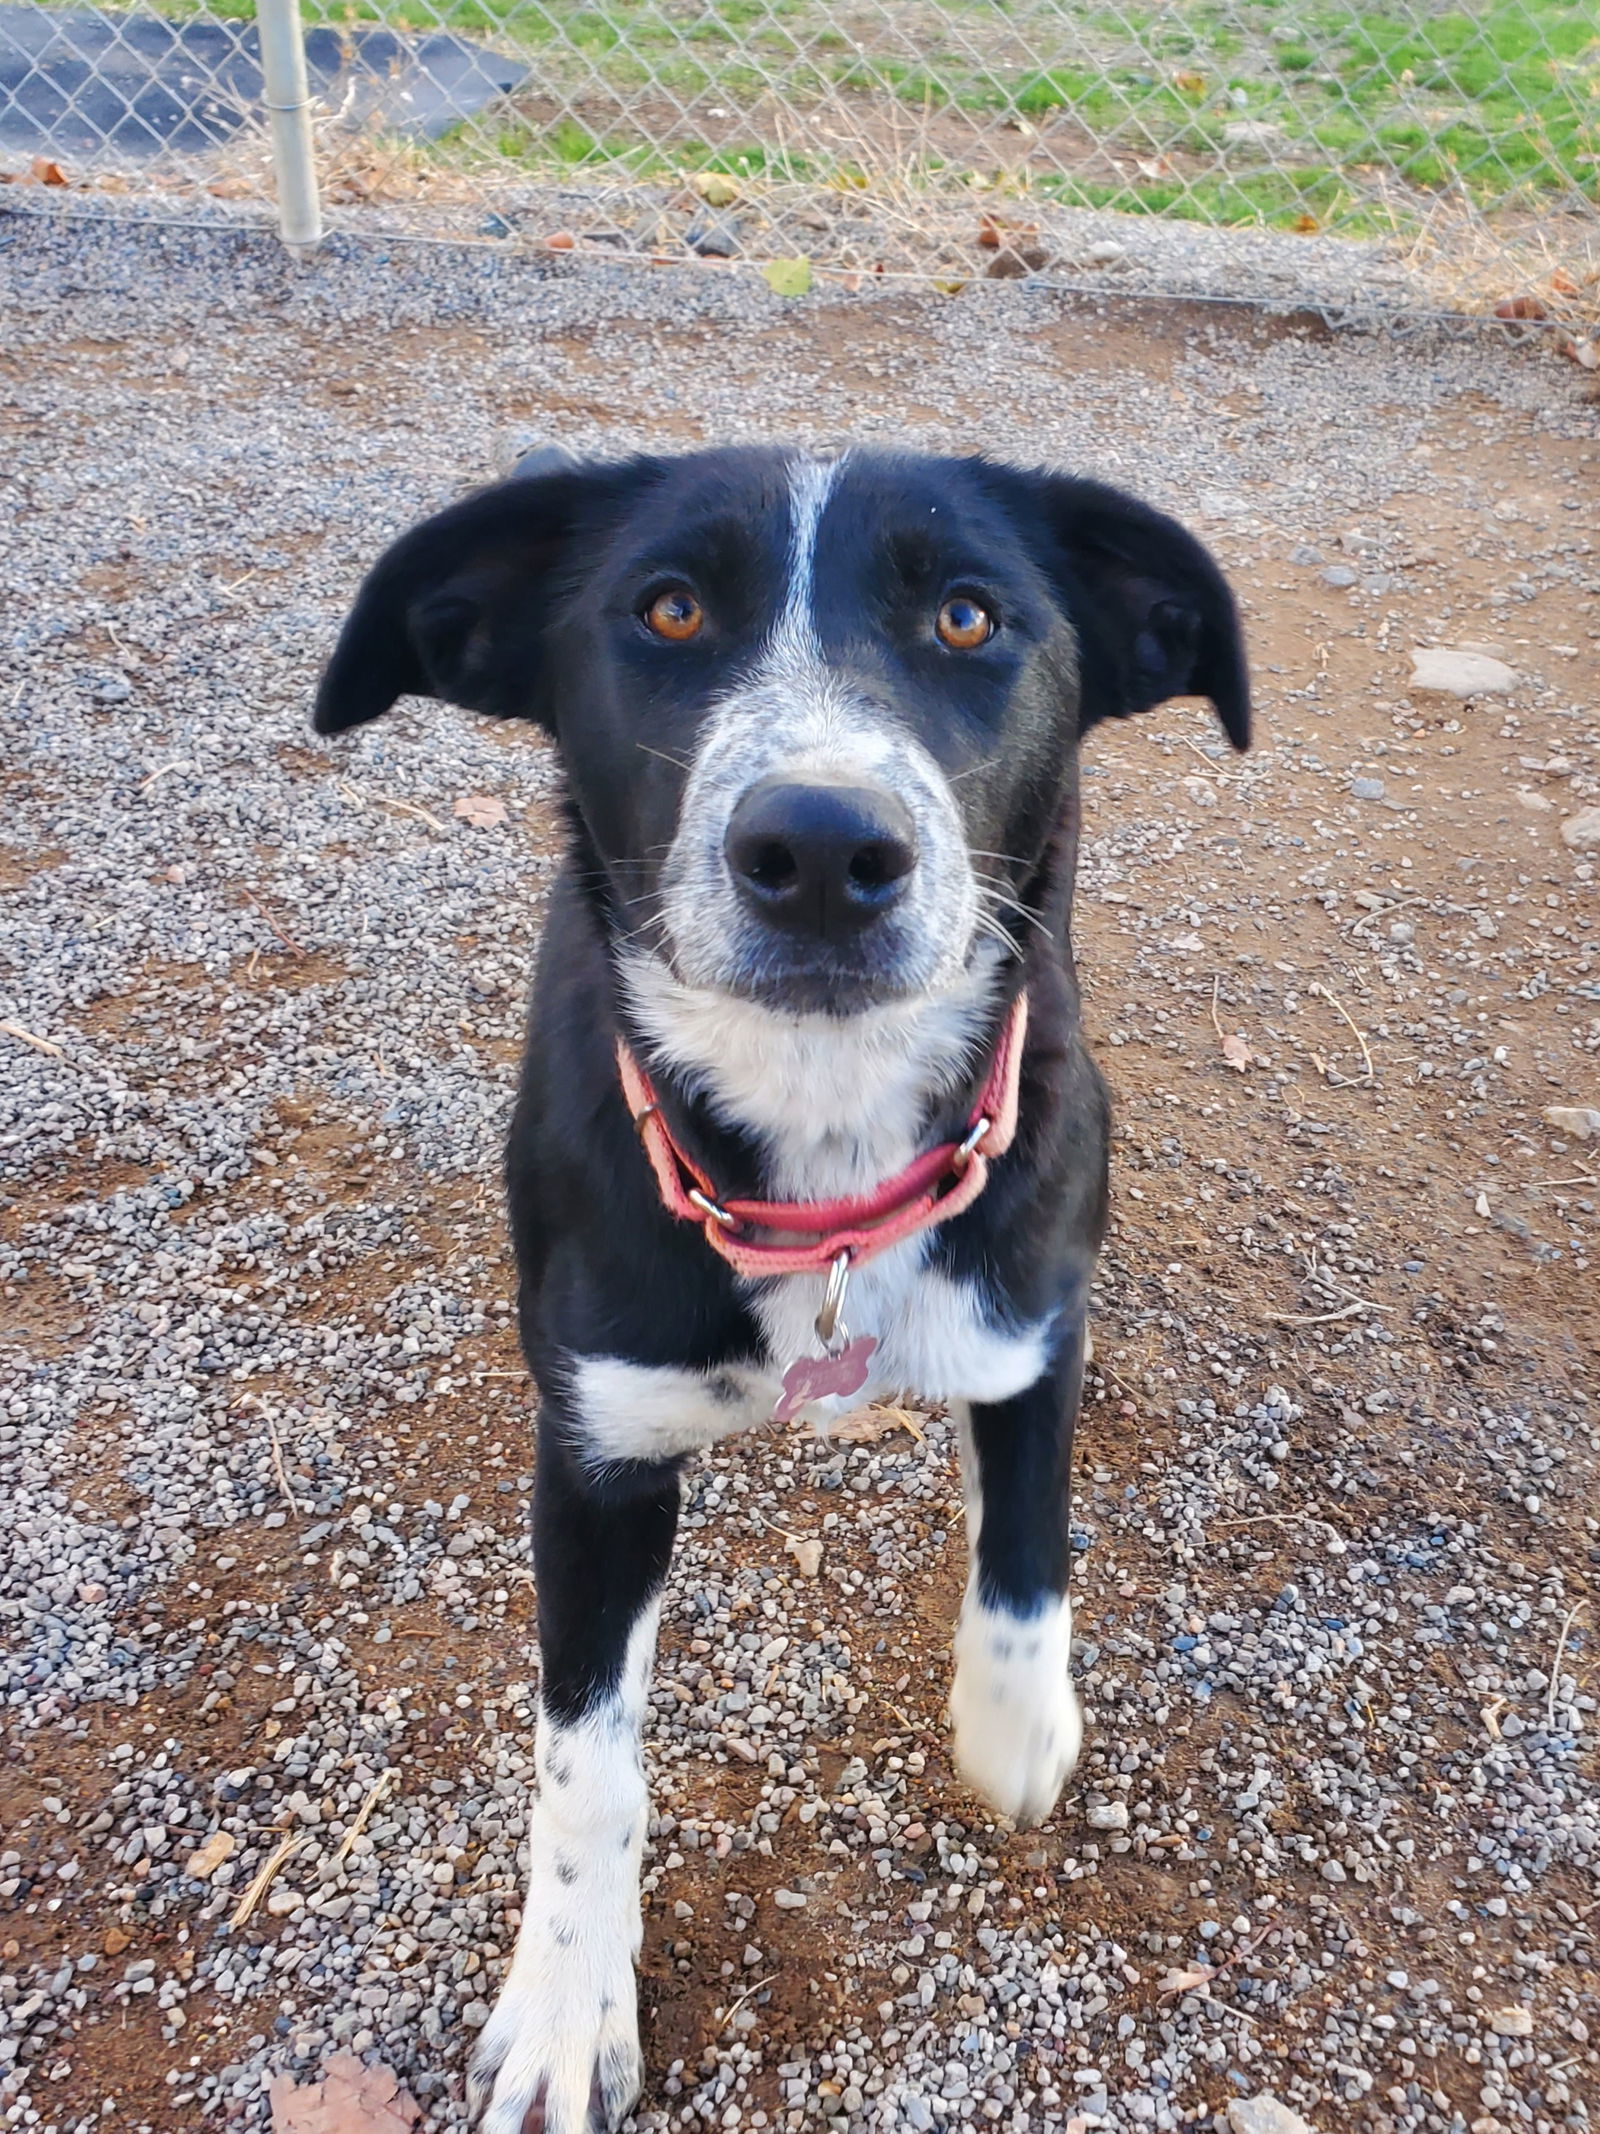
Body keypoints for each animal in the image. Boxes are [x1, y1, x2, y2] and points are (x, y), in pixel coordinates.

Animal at [315, 441, 1254, 2125]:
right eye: (668, 608)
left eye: (967, 614)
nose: (822, 846)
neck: (825, 1140)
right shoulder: (594, 1449)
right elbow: (583, 1759)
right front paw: (567, 2007)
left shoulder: (1033, 1304)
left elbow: (1026, 1547)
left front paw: (1014, 1728)